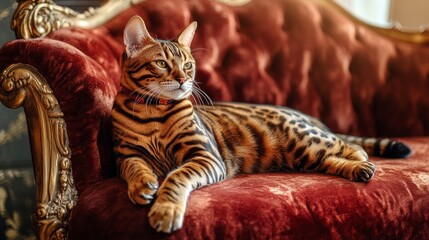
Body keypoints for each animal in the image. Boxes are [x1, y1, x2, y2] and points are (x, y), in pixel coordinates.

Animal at [111, 15, 412, 233]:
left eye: (188, 66)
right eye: (162, 64)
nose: (184, 81)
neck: (153, 113)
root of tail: (303, 115)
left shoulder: (205, 155)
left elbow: (176, 176)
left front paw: (166, 209)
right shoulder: (126, 155)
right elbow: (134, 167)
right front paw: (142, 184)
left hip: (303, 139)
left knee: (346, 144)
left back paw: (361, 160)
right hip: (303, 155)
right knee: (330, 159)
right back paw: (359, 170)